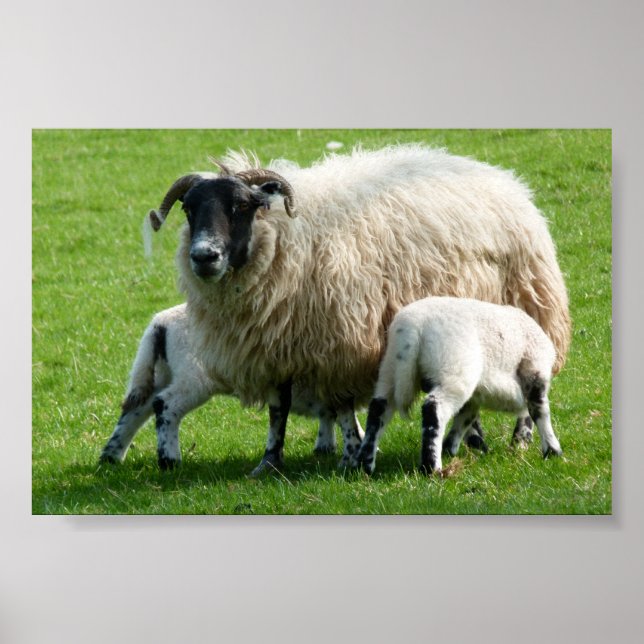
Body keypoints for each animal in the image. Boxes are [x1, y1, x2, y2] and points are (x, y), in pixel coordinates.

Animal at [99, 303, 368, 468]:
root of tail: (160, 324)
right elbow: (346, 419)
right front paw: (355, 446)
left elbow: (330, 415)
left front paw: (325, 447)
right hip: (193, 377)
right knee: (164, 406)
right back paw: (170, 461)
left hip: (161, 372)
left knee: (135, 410)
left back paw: (111, 457)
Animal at [352, 296, 563, 475]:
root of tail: (413, 329)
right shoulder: (534, 372)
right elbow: (540, 411)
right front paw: (552, 450)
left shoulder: (475, 396)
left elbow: (464, 419)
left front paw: (450, 449)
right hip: (453, 370)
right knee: (433, 409)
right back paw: (431, 468)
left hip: (390, 371)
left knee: (378, 410)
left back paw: (364, 464)